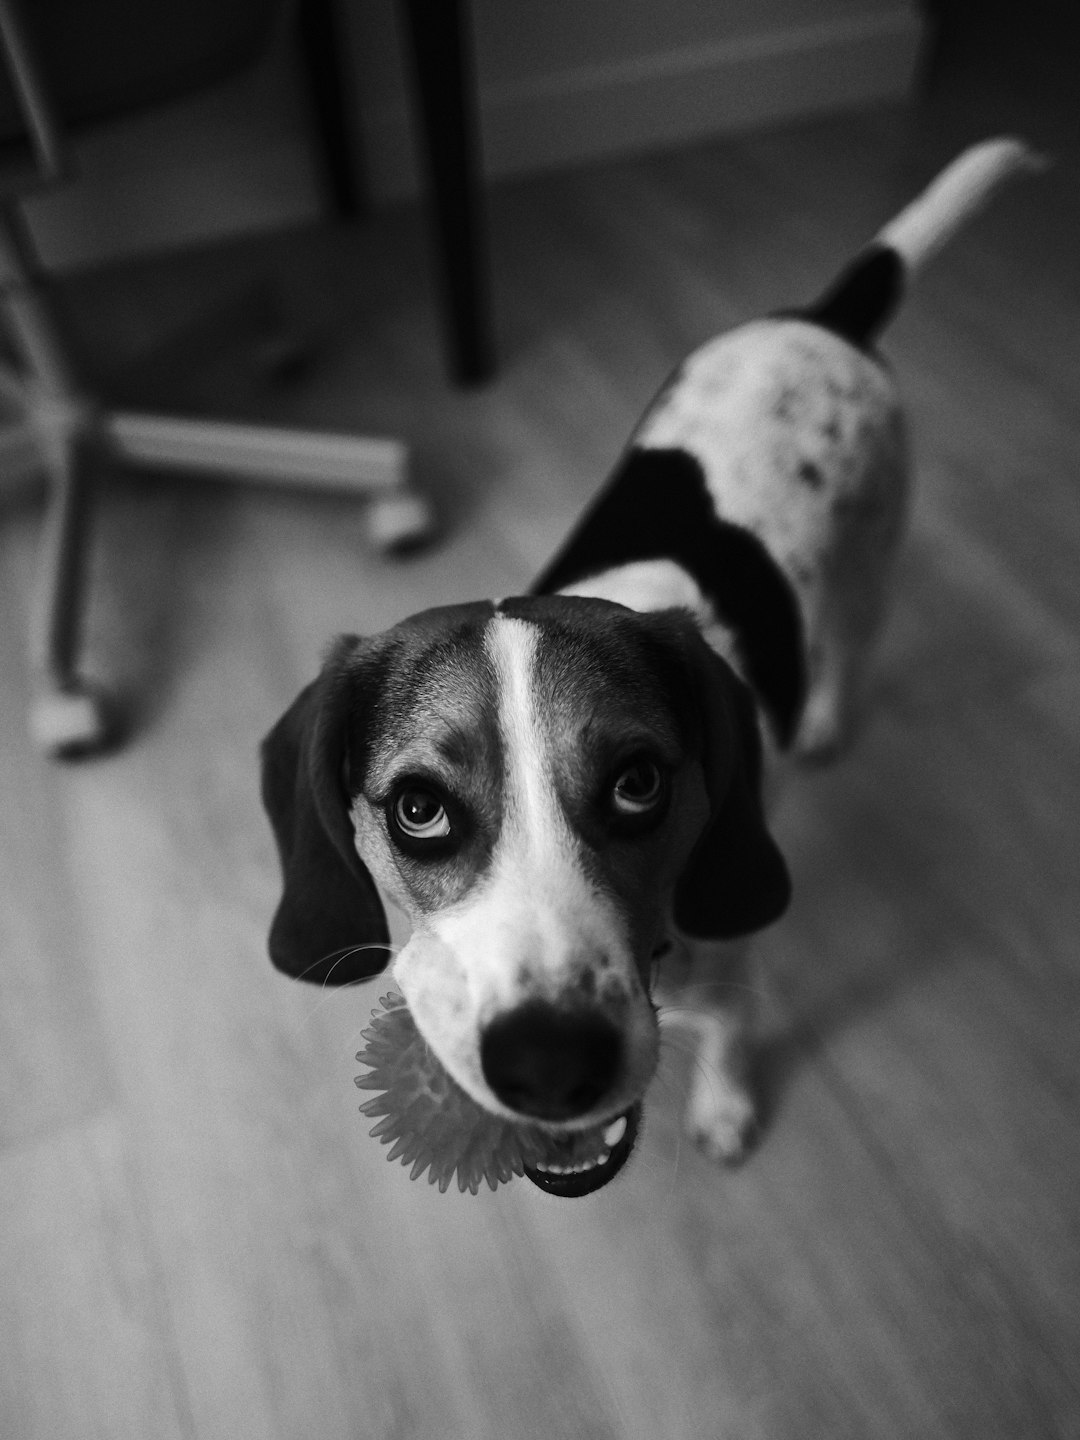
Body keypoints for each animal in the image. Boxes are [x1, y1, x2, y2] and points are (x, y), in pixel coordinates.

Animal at [262, 140, 1042, 1198]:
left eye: (639, 783)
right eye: (418, 808)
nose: (550, 1064)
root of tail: (817, 320)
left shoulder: (733, 960)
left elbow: (732, 1036)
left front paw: (723, 1110)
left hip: (870, 557)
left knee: (854, 640)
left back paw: (826, 718)